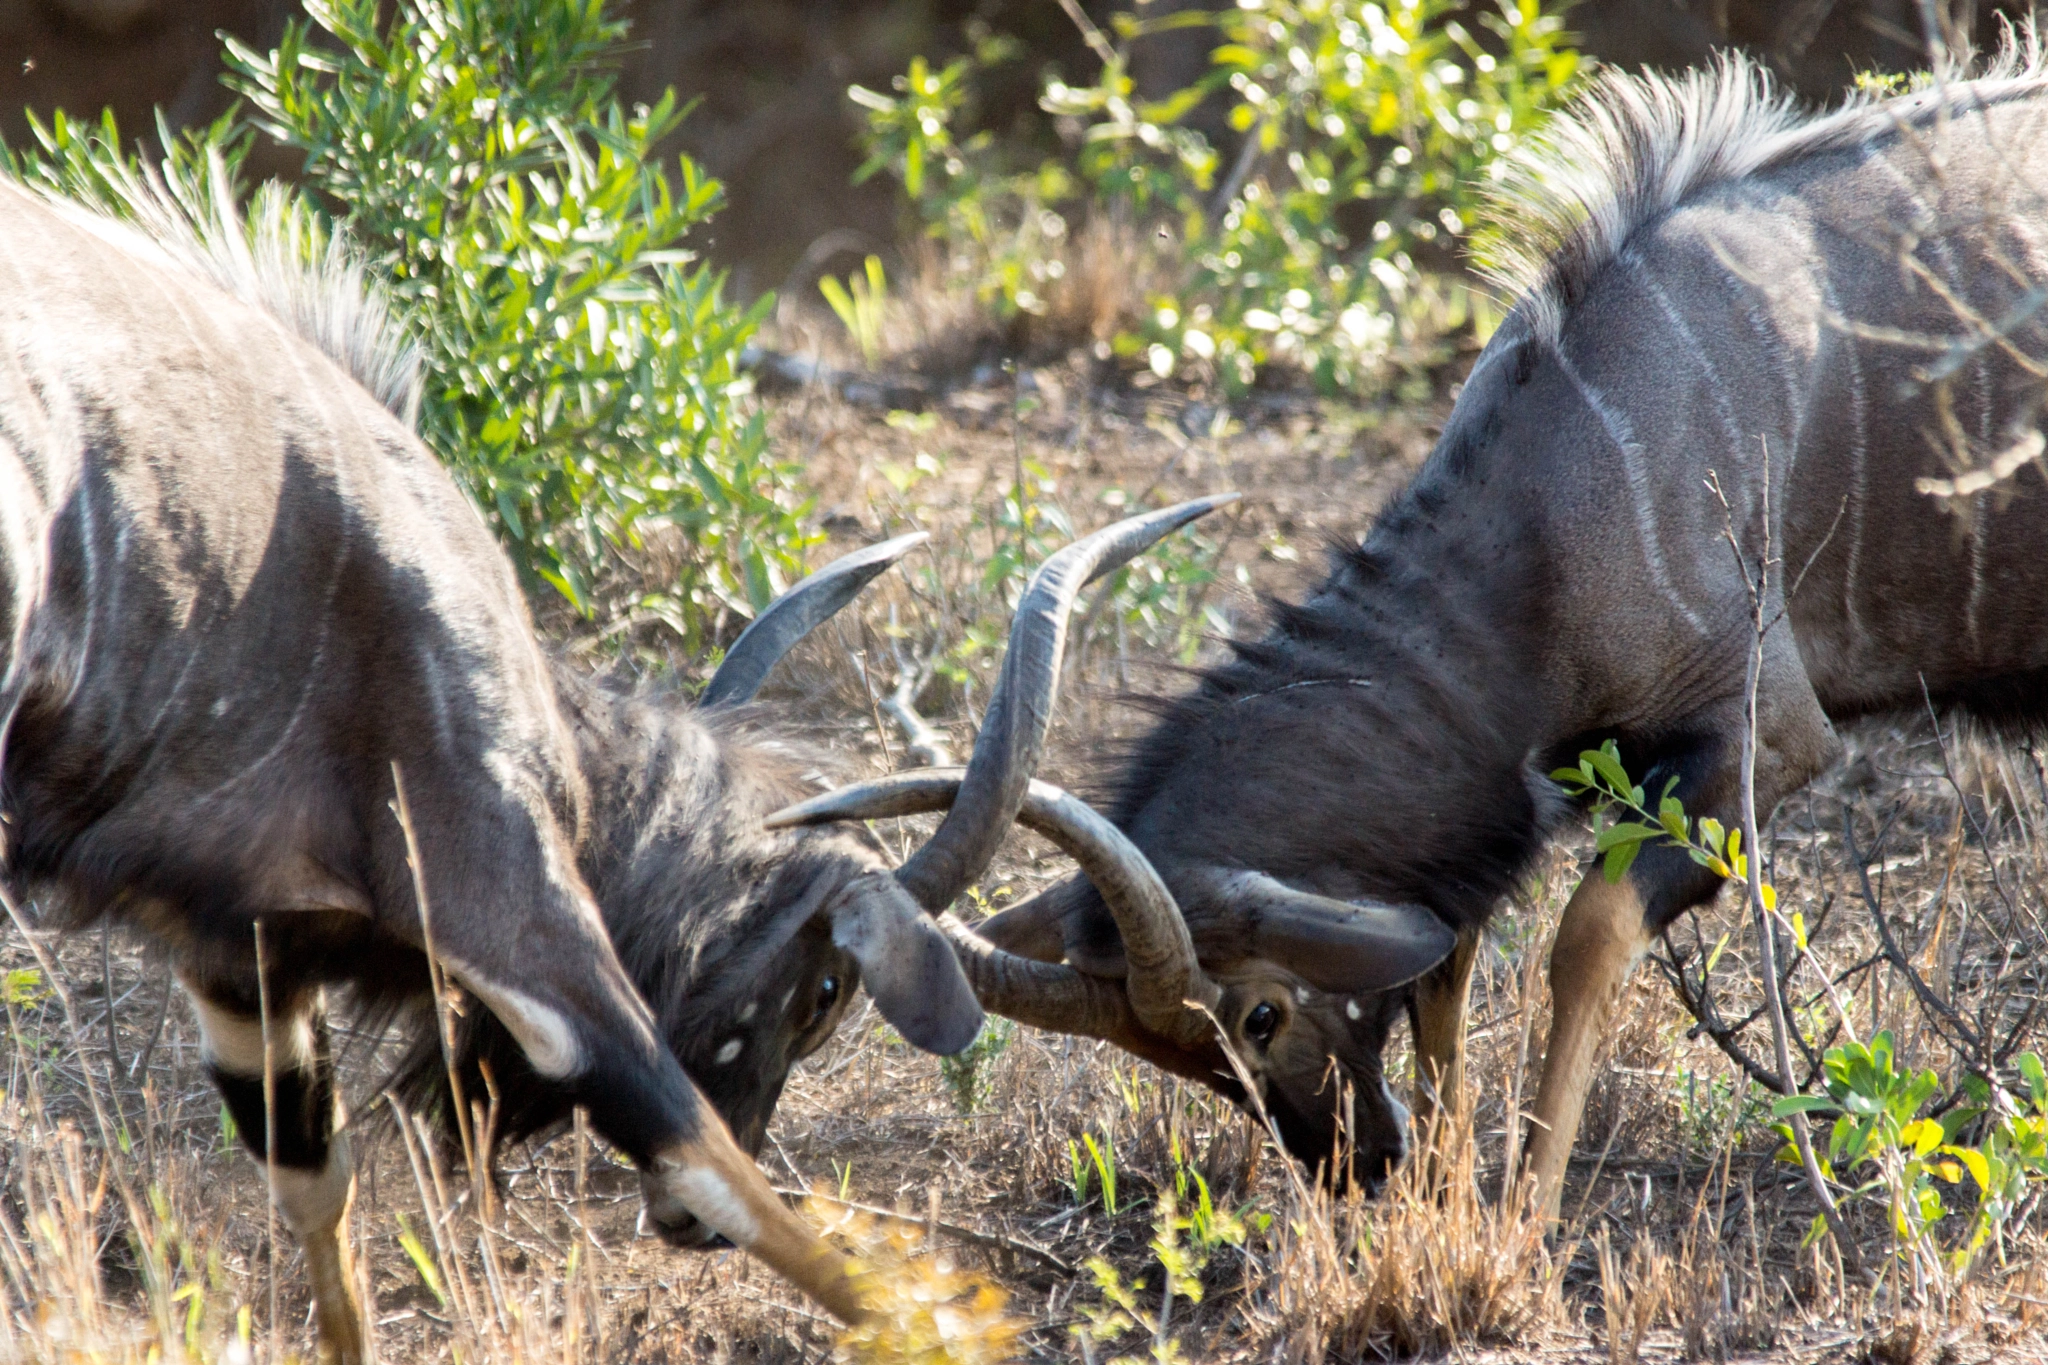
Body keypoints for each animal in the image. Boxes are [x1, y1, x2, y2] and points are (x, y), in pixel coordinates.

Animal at [0, 162, 991, 1358]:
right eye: (825, 987)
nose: (684, 1239)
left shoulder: (239, 953)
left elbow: (311, 1182)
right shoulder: (504, 893)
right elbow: (704, 1151)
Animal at [790, 42, 2048, 1211]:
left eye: (1257, 1013)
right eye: (1173, 1057)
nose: (1353, 1165)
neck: (1553, 517)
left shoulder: (1762, 740)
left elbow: (1585, 933)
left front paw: (1519, 1229)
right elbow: (1449, 969)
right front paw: (1447, 1212)